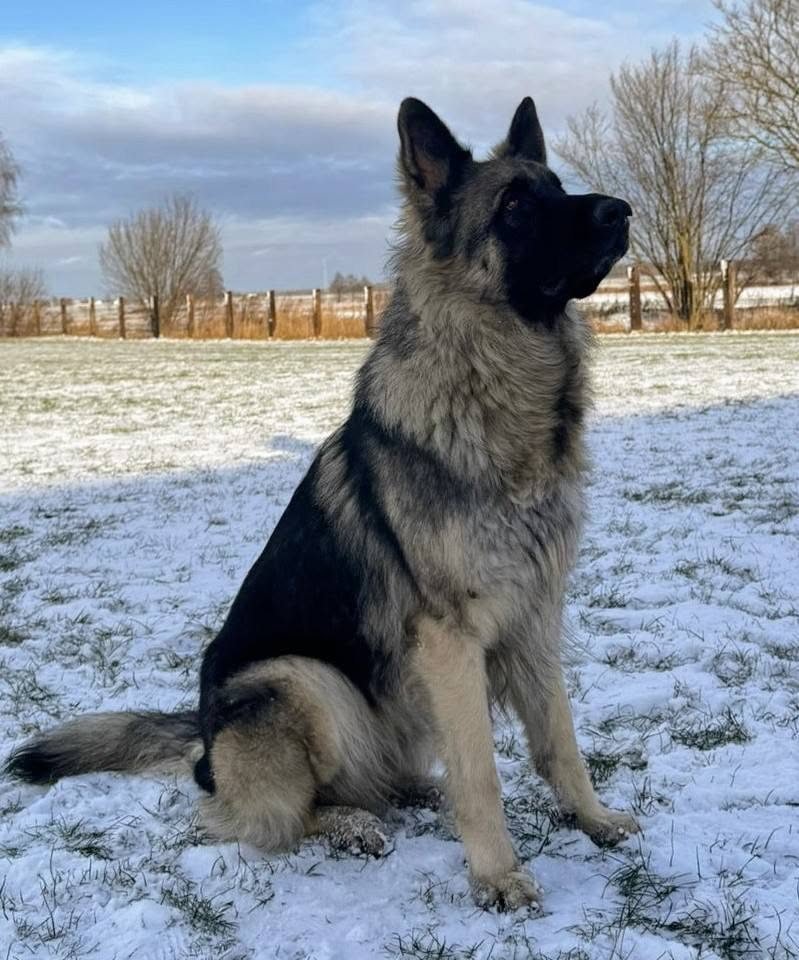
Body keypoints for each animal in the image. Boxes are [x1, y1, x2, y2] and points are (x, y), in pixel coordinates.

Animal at [6, 96, 636, 911]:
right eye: (516, 206)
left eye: (557, 188)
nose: (622, 211)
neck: (497, 387)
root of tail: (203, 739)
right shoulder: (453, 639)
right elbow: (481, 773)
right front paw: (496, 874)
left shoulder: (534, 622)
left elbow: (561, 741)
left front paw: (591, 819)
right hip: (303, 679)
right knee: (248, 813)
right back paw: (349, 825)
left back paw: (406, 793)